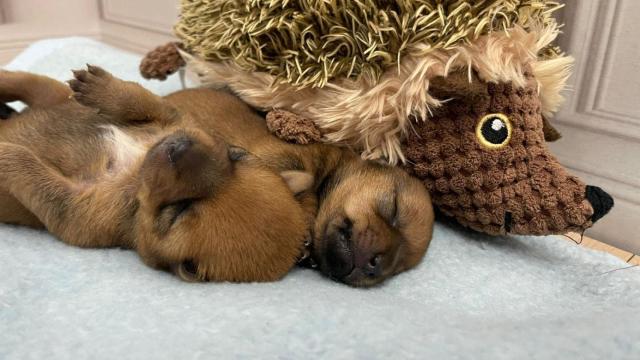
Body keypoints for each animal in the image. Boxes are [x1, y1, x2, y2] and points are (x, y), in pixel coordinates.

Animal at [0, 67, 312, 282]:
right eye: (235, 155)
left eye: (179, 210)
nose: (180, 146)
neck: (137, 168)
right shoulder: (175, 119)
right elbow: (146, 101)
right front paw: (104, 89)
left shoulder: (74, 211)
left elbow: (30, 169)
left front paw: (5, 152)